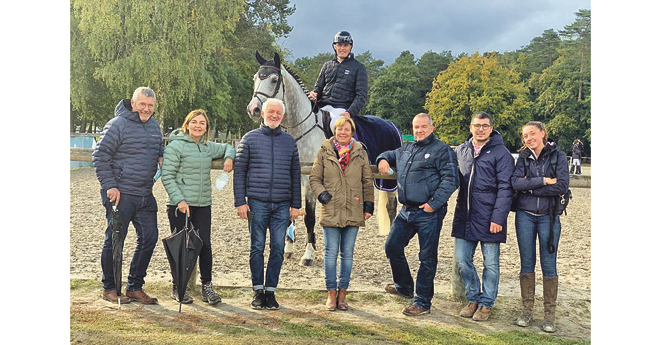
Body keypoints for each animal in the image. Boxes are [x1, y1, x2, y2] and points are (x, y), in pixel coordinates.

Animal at [246, 51, 400, 264]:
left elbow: (309, 217)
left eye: (274, 79)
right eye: (255, 78)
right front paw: (289, 248)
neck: (300, 128)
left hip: (388, 179)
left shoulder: (310, 180)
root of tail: (390, 124)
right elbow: (291, 213)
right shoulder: (293, 178)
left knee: (391, 207)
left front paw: (308, 254)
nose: (253, 109)